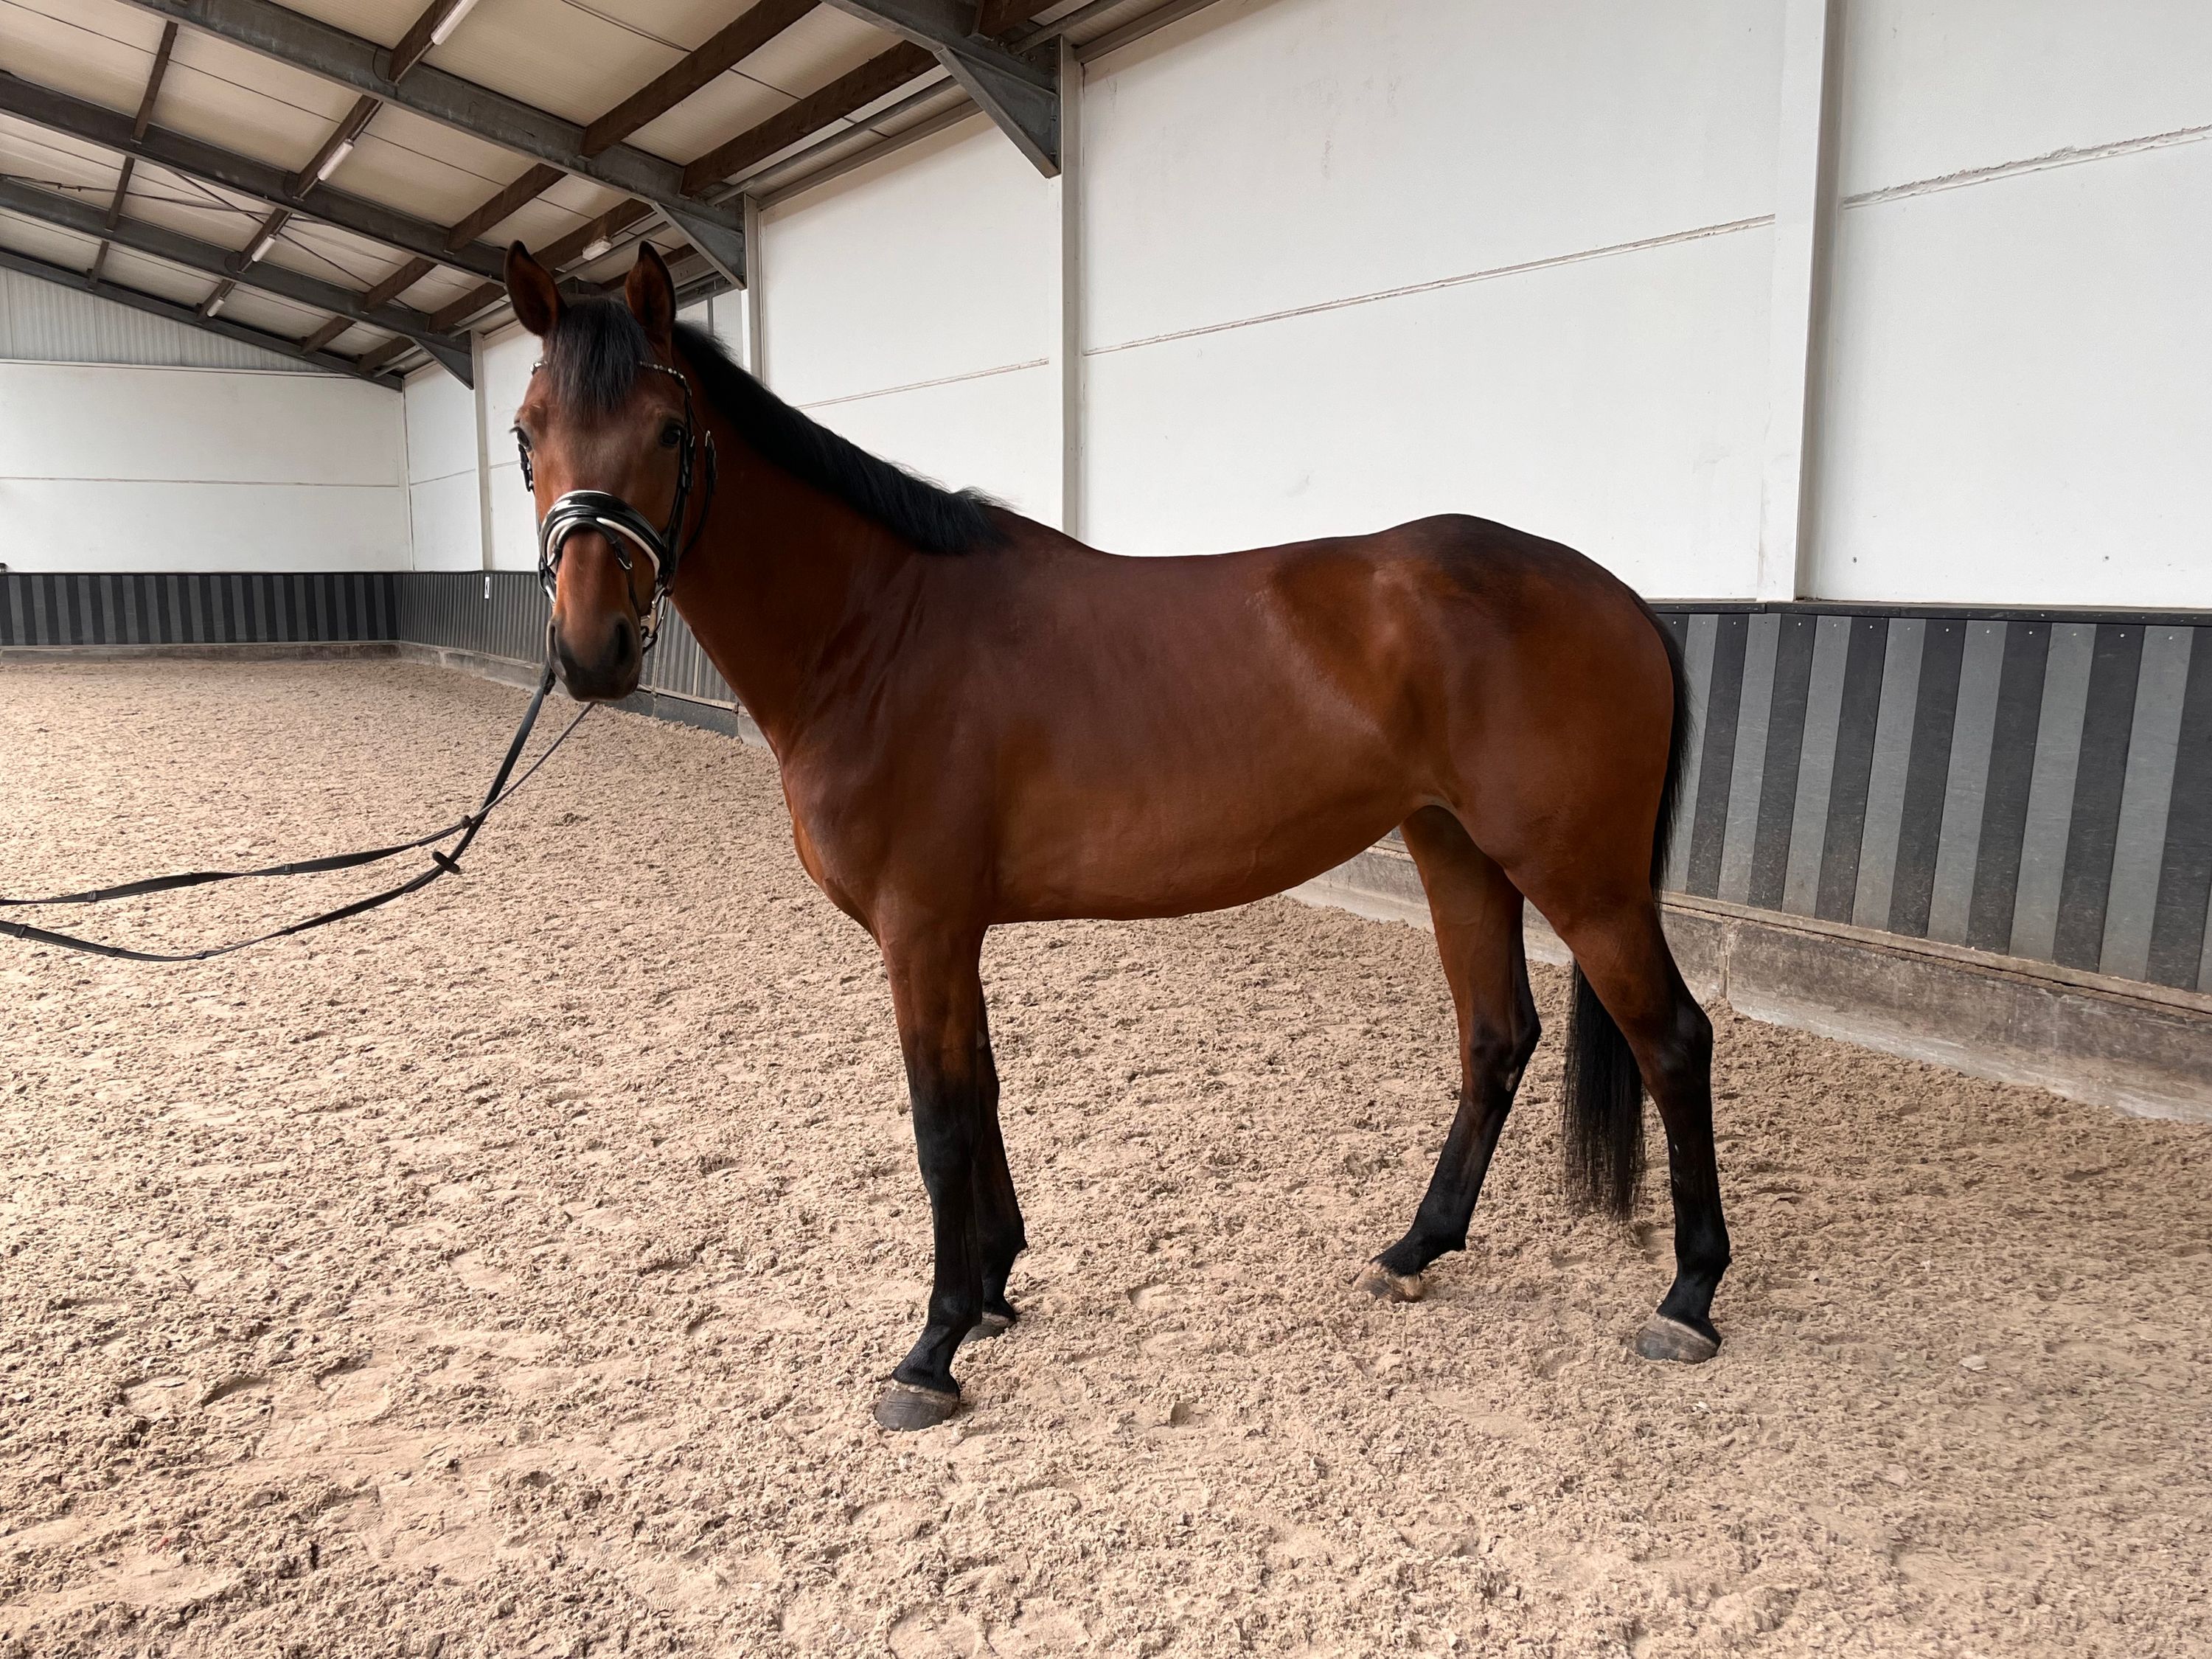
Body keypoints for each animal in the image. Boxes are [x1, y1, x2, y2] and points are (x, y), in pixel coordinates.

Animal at [504, 243, 1729, 1431]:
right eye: (525, 436)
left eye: (669, 431)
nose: (591, 649)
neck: (879, 631)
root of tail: (1620, 597)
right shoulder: (952, 932)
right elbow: (983, 1091)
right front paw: (994, 1288)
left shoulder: (921, 927)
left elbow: (939, 1122)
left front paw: (931, 1352)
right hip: (1455, 848)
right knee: (1495, 1036)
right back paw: (1416, 1247)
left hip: (1582, 876)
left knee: (1673, 1039)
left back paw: (1688, 1297)